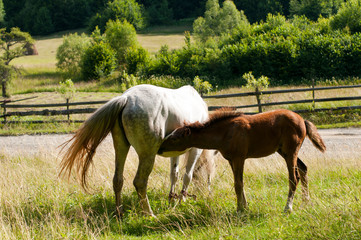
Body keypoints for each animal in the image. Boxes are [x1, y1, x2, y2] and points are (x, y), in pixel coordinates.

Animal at [59, 85, 208, 218]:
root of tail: (127, 98)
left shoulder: (175, 150)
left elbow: (174, 174)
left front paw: (172, 199)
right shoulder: (196, 149)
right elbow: (187, 176)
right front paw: (182, 201)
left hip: (121, 147)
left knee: (117, 179)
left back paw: (120, 212)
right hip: (147, 156)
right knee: (140, 182)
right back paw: (149, 214)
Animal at [158, 109, 326, 212]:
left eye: (174, 138)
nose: (159, 148)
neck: (225, 132)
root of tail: (302, 120)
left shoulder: (239, 158)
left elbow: (238, 184)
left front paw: (240, 209)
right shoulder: (232, 160)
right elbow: (239, 183)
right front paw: (244, 206)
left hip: (290, 152)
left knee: (294, 178)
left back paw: (288, 208)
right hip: (285, 152)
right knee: (304, 169)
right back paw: (306, 201)